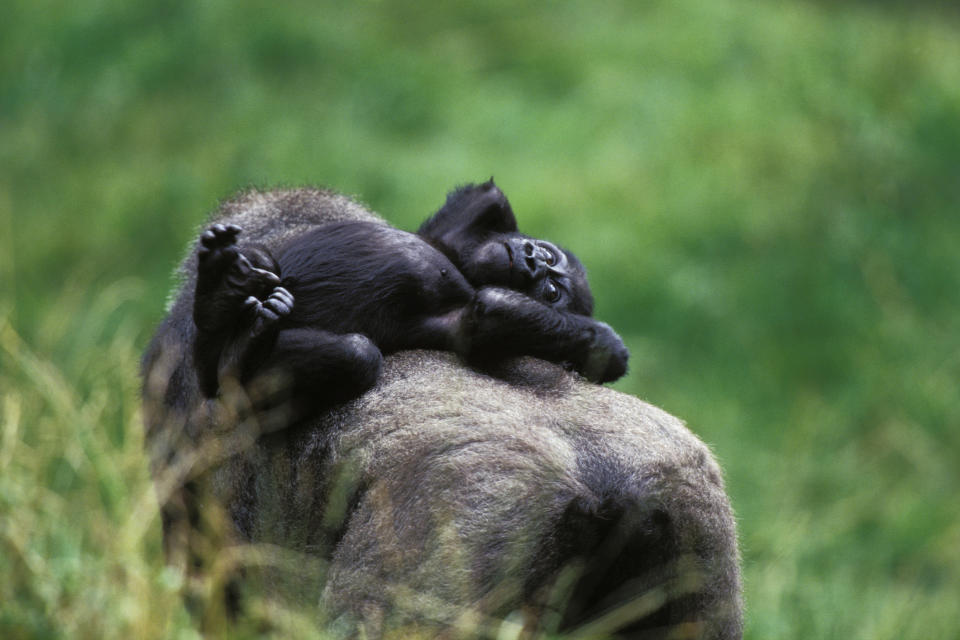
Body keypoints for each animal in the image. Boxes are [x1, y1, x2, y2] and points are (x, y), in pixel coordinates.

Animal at [195, 180, 632, 416]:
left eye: (553, 291)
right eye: (548, 256)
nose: (531, 258)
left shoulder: (468, 314)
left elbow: (491, 313)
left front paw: (607, 345)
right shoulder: (454, 237)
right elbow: (481, 201)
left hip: (218, 385)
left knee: (356, 356)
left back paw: (238, 357)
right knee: (261, 258)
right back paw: (219, 295)